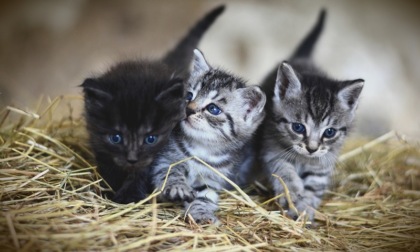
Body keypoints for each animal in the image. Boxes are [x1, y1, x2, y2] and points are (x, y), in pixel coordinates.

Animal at [82, 4, 226, 204]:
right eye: (116, 137)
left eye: (151, 139)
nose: (132, 159)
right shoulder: (100, 145)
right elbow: (109, 168)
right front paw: (110, 190)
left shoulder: (159, 154)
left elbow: (142, 173)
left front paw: (130, 196)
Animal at [149, 49, 264, 224]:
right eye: (189, 96)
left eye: (213, 108)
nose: (189, 109)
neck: (202, 148)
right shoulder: (164, 157)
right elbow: (170, 170)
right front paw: (177, 186)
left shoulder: (212, 179)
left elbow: (204, 196)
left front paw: (202, 213)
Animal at [258, 9, 362, 220]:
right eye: (298, 127)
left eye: (329, 132)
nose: (312, 149)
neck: (304, 159)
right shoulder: (270, 149)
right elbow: (283, 170)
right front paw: (292, 192)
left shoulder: (323, 163)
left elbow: (314, 186)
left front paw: (306, 210)